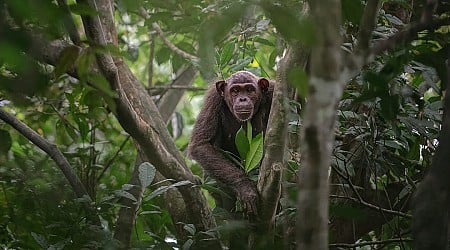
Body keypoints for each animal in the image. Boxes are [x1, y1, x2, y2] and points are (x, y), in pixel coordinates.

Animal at [187, 70, 272, 215]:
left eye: (249, 90)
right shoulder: (213, 99)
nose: (242, 99)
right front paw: (245, 187)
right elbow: (201, 144)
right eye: (235, 90)